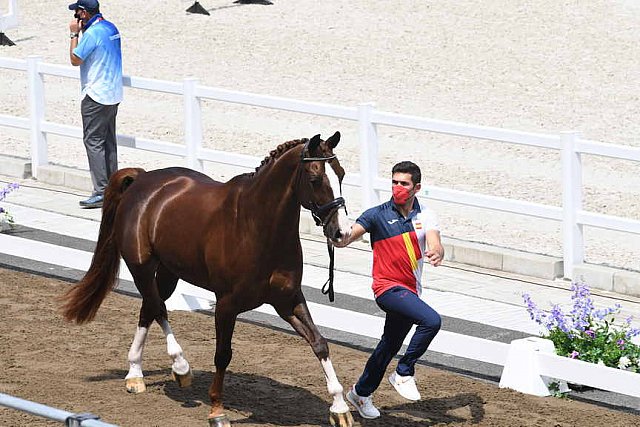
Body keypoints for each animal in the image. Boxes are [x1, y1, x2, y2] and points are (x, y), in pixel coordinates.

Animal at [60, 134, 356, 427]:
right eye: (315, 178)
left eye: (341, 173)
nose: (341, 232)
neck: (257, 226)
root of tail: (143, 179)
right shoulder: (226, 305)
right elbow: (222, 354)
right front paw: (217, 411)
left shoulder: (288, 300)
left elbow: (319, 342)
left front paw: (340, 408)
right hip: (141, 267)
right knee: (157, 307)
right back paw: (179, 367)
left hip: (169, 272)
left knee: (148, 309)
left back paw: (136, 373)